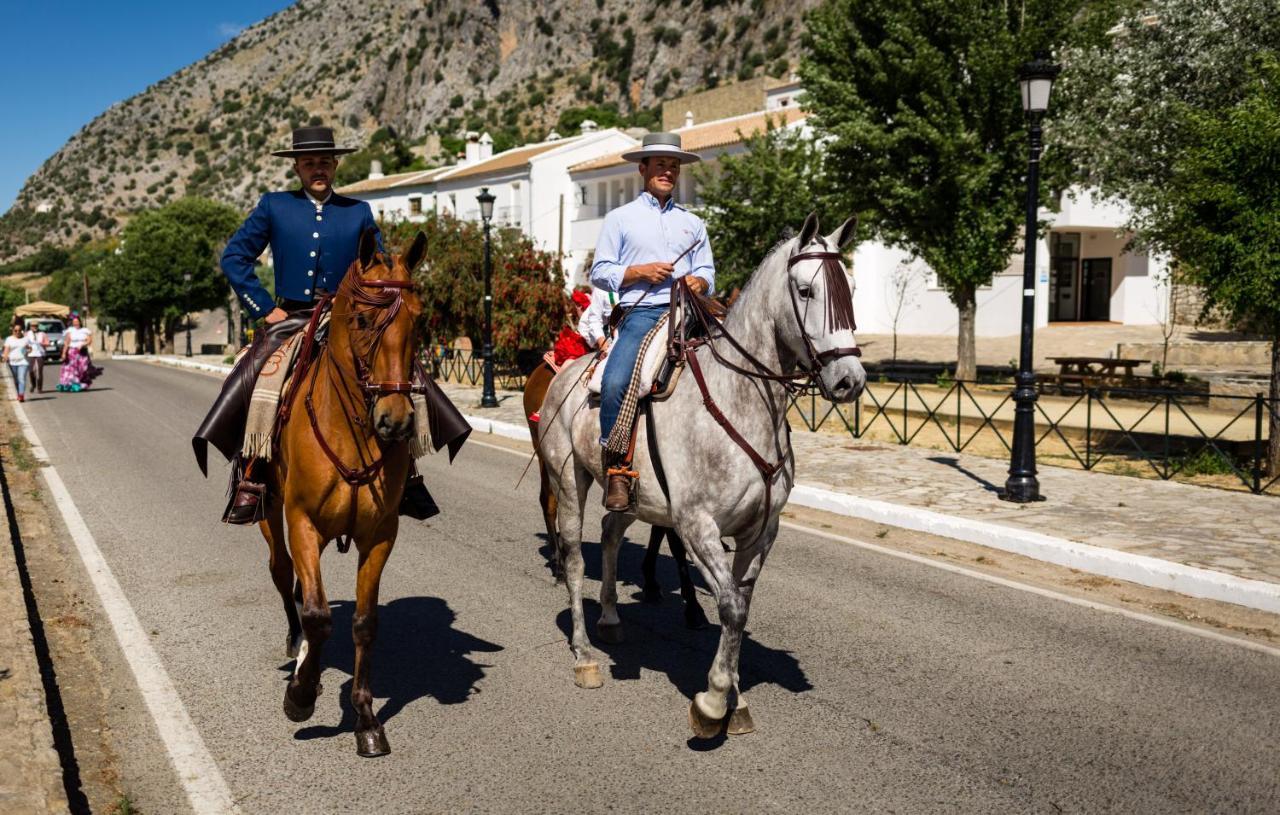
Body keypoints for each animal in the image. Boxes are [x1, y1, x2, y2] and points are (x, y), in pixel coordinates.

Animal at [262, 223, 427, 757]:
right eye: (360, 317)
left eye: (419, 320)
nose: (395, 421)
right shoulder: (302, 523)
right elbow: (317, 615)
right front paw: (301, 695)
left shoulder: (380, 535)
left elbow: (363, 623)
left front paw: (366, 717)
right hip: (270, 512)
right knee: (283, 575)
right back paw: (295, 648)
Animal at [519, 358, 711, 629]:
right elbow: (675, 542)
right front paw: (693, 607)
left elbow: (660, 531)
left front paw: (651, 582)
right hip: (547, 454)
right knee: (549, 503)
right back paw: (559, 564)